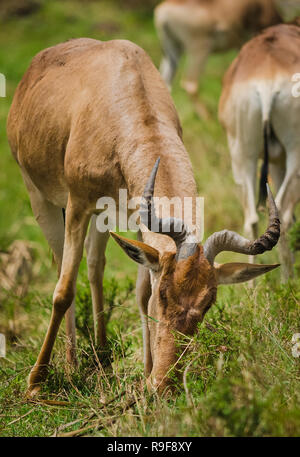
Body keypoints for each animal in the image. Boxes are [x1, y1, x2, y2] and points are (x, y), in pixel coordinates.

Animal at [6, 36, 278, 396]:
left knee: (95, 264)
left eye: (208, 302)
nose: (164, 384)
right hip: (41, 196)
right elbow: (64, 290)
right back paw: (71, 362)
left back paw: (102, 352)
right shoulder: (78, 204)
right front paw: (36, 382)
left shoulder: (137, 220)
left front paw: (146, 373)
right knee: (65, 267)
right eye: (166, 293)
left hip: (104, 216)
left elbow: (140, 294)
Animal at [218, 24, 300, 282]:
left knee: (252, 219)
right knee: (283, 211)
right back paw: (287, 280)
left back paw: (251, 285)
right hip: (295, 154)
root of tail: (266, 79)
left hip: (242, 155)